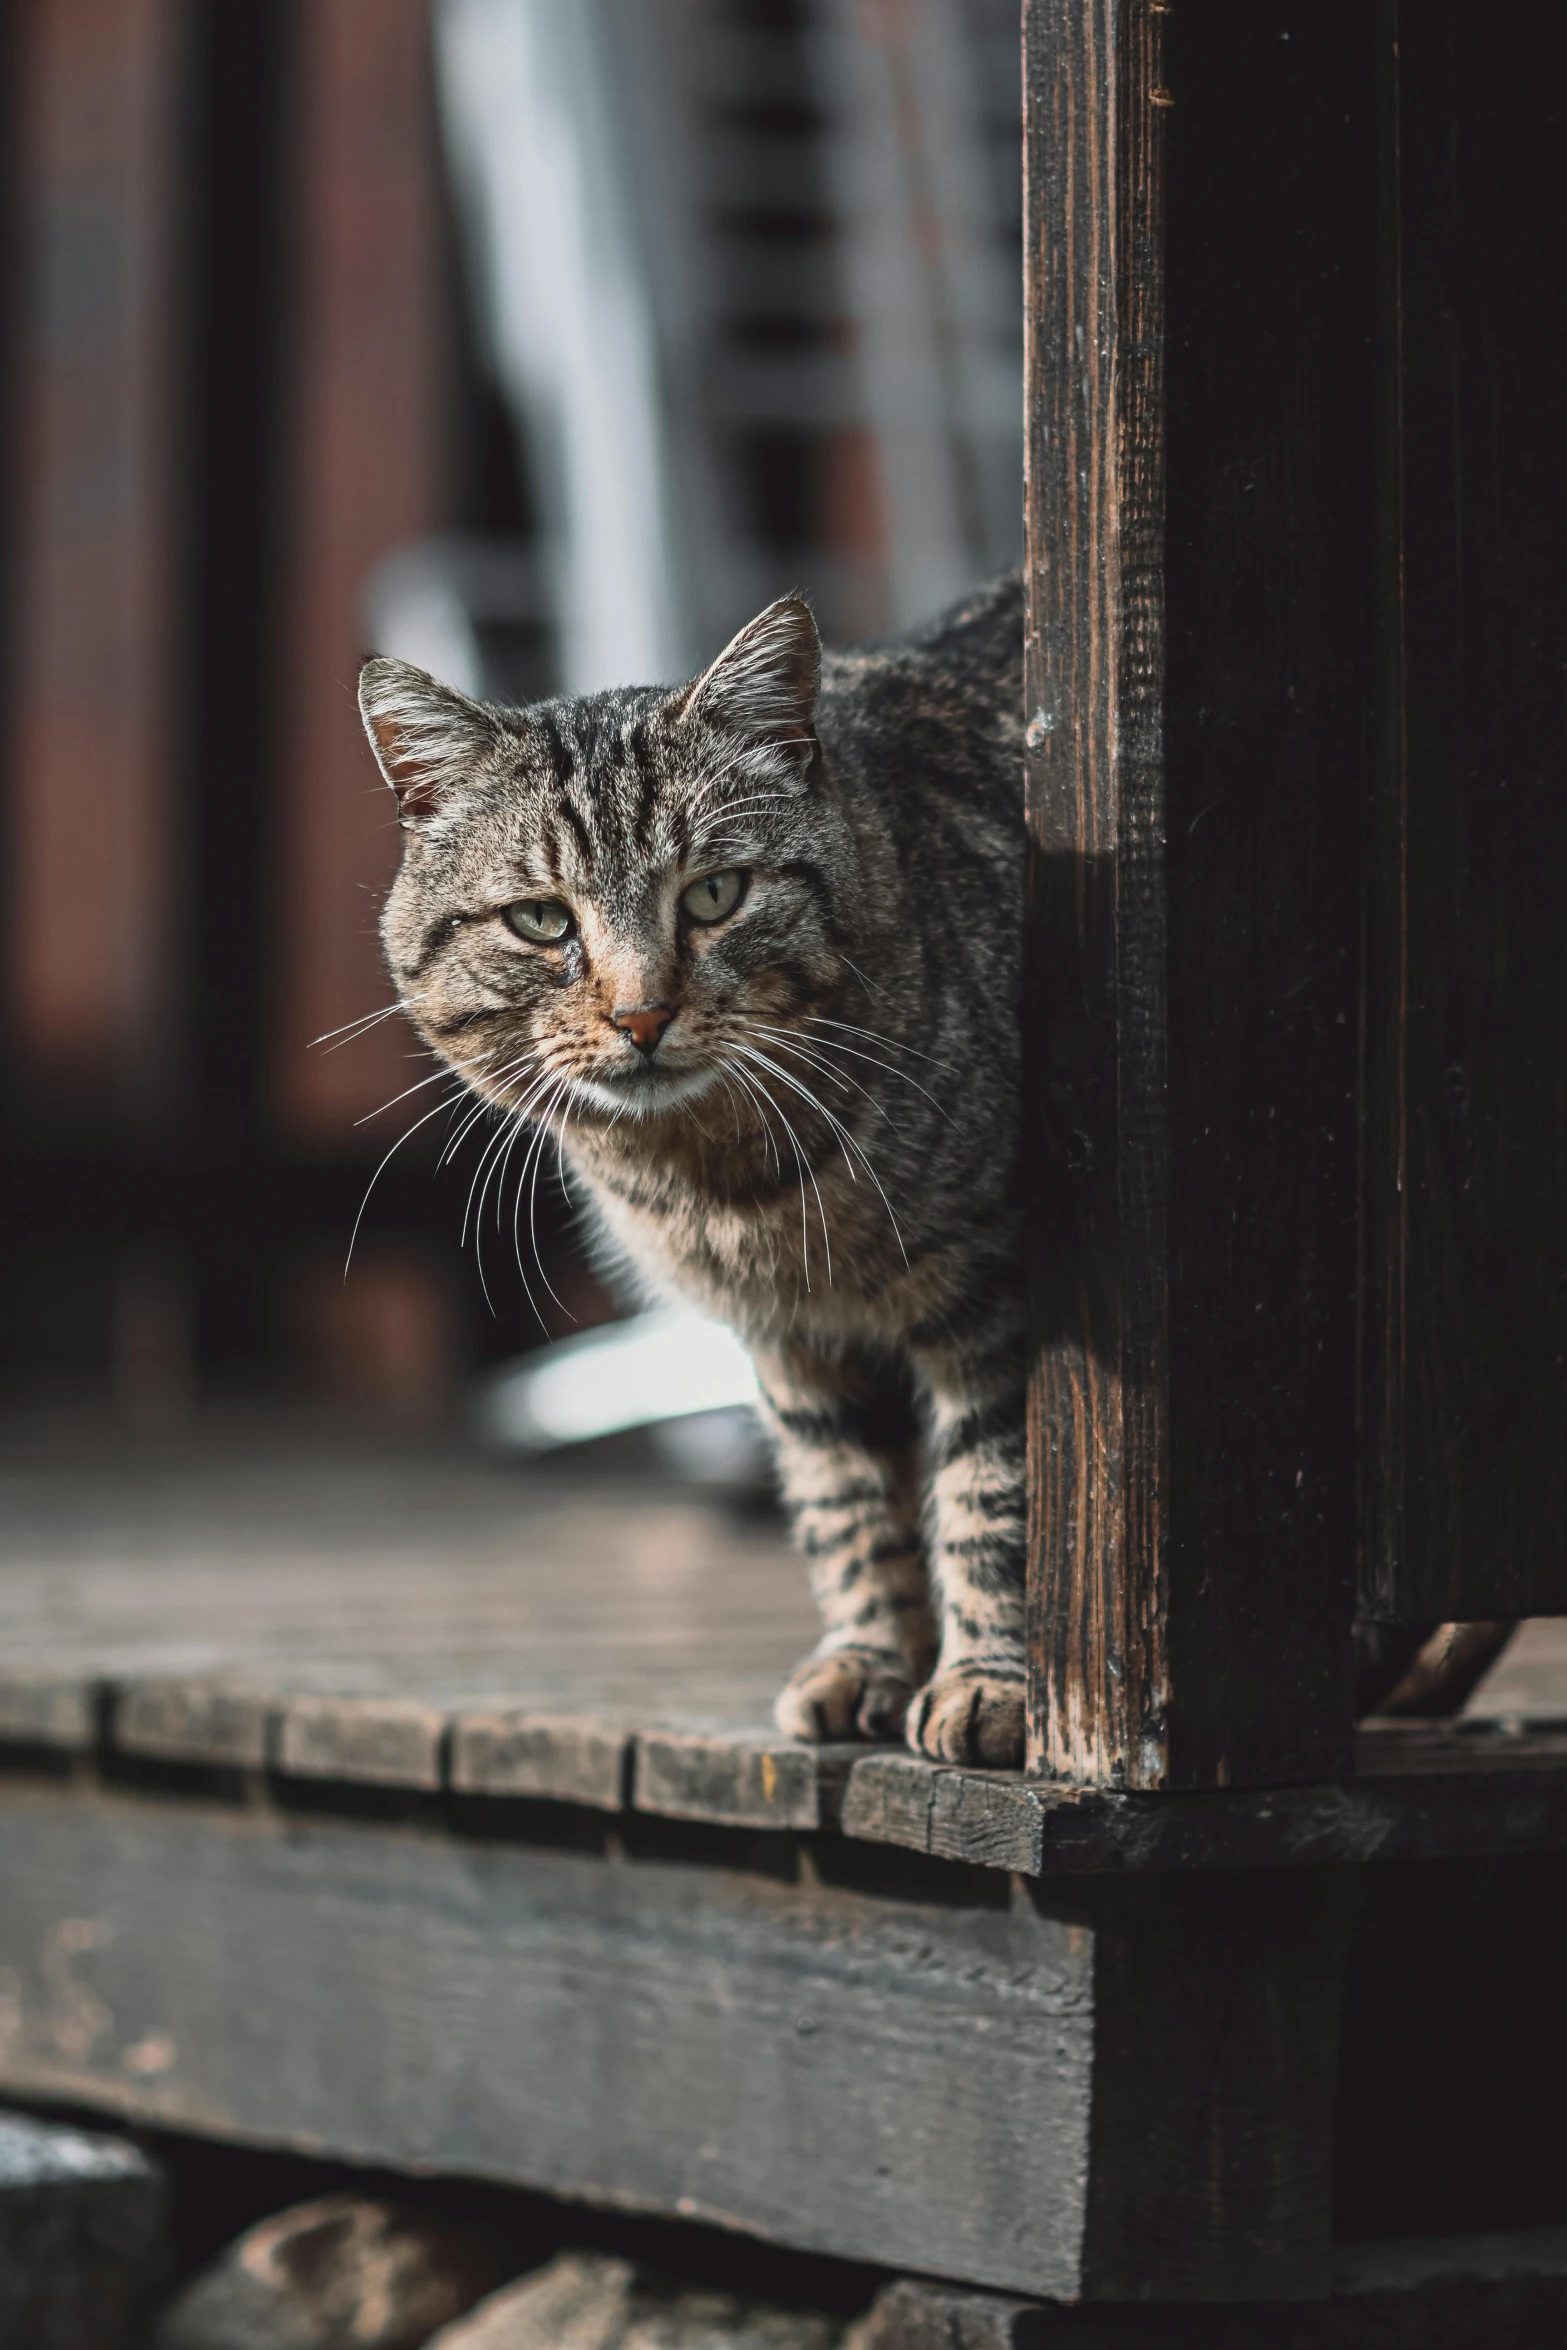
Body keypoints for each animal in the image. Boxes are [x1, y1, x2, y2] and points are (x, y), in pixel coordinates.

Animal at [354, 578, 1029, 1767]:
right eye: (541, 919)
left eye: (715, 895)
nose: (640, 1014)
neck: (731, 1186)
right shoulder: (796, 1342)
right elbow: (849, 1506)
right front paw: (867, 1662)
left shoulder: (998, 1289)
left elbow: (993, 1497)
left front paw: (989, 1683)